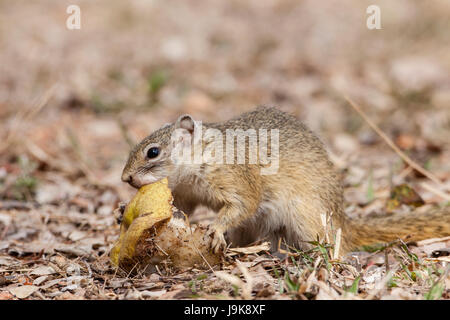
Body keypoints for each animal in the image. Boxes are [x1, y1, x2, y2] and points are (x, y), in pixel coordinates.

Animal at [120, 107, 450, 255]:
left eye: (153, 152)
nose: (125, 178)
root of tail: (342, 221)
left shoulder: (237, 179)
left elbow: (243, 205)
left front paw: (216, 229)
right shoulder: (187, 192)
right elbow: (182, 208)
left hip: (305, 219)